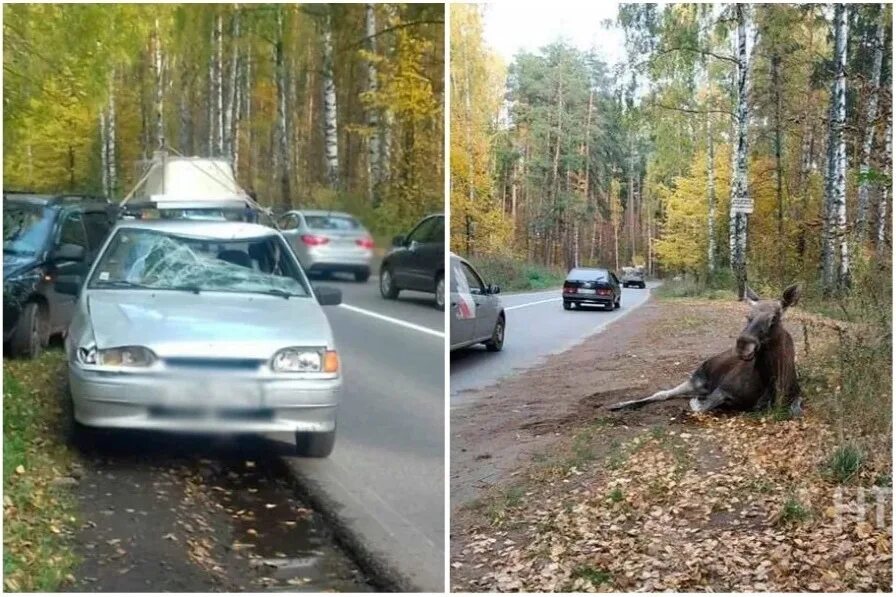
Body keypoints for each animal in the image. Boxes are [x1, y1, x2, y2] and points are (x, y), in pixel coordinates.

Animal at [608, 282, 804, 414]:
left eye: (774, 318)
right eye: (747, 315)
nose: (743, 345)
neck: (772, 382)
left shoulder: (796, 395)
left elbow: (796, 410)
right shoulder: (723, 389)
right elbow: (700, 407)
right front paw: (697, 402)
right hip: (696, 379)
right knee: (662, 393)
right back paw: (618, 405)